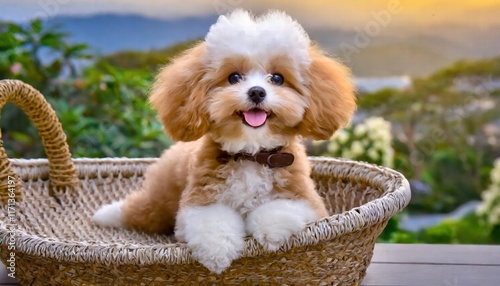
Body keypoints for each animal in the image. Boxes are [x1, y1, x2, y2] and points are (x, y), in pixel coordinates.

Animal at [94, 9, 358, 272]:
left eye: (277, 78)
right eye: (234, 77)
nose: (256, 91)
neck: (251, 154)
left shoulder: (307, 201)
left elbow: (275, 211)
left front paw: (269, 232)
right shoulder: (198, 201)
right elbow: (213, 222)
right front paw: (217, 253)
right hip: (160, 198)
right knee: (139, 210)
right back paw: (106, 213)